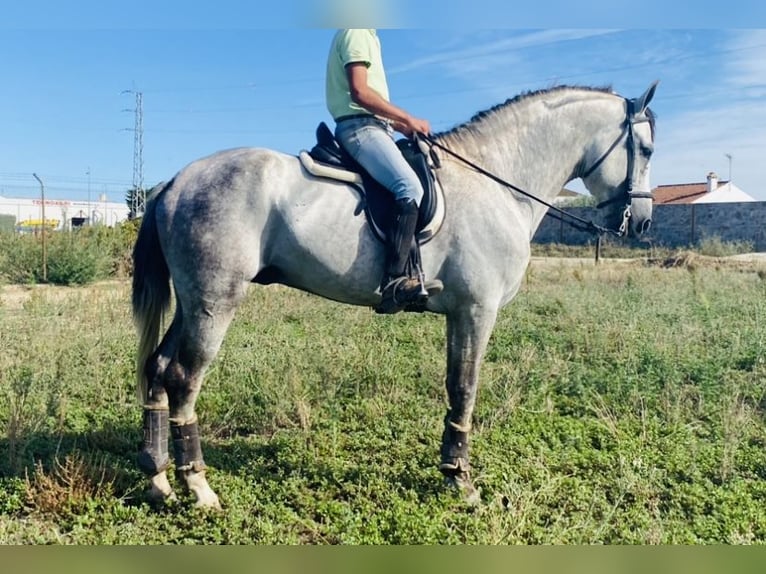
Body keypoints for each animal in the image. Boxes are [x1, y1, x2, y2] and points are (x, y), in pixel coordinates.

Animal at [132, 82, 660, 508]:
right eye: (648, 148)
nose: (642, 222)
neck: (496, 181)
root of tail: (175, 181)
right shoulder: (476, 310)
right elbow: (465, 388)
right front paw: (463, 483)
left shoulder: (459, 313)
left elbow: (455, 385)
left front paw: (451, 471)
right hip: (214, 302)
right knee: (183, 378)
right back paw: (198, 488)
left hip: (191, 302)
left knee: (157, 369)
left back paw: (158, 480)